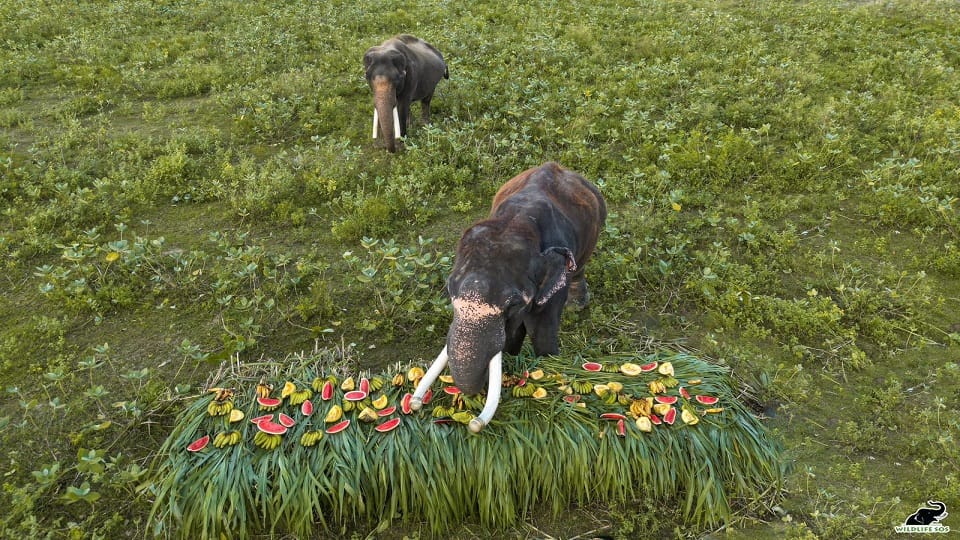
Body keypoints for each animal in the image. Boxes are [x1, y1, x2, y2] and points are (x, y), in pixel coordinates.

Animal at [409, 162, 607, 432]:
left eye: (513, 304)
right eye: (449, 292)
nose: (414, 404)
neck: (517, 221)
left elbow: (542, 331)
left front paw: (547, 361)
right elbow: (513, 335)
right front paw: (512, 356)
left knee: (580, 267)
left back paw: (577, 306)